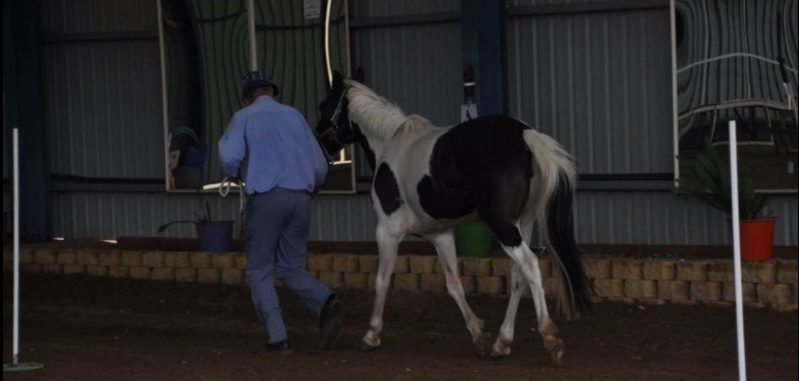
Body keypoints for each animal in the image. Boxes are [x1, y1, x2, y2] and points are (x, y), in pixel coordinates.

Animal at [316, 70, 592, 364]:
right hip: (523, 223)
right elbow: (454, 285)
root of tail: (524, 135)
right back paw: (502, 342)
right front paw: (479, 335)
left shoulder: (387, 231)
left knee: (529, 264)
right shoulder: (441, 234)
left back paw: (550, 339)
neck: (390, 144)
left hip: (503, 225)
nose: (320, 140)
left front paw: (371, 336)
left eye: (325, 106)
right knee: (519, 275)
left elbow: (381, 281)